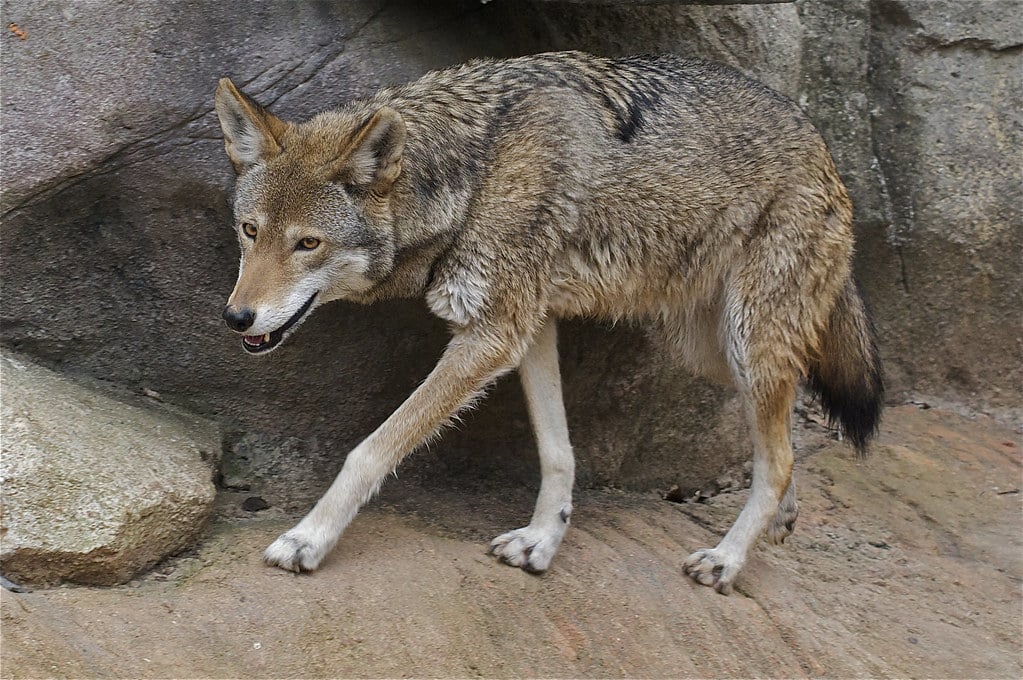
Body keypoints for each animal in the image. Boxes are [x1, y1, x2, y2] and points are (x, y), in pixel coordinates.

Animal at [214, 51, 883, 594]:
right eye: (250, 231)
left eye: (308, 243)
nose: (236, 317)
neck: (474, 177)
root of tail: (824, 147)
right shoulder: (528, 329)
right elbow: (558, 451)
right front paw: (542, 542)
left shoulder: (490, 336)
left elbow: (371, 449)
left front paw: (308, 539)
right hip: (709, 351)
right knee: (783, 435)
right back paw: (781, 519)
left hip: (743, 345)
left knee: (779, 455)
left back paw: (727, 559)